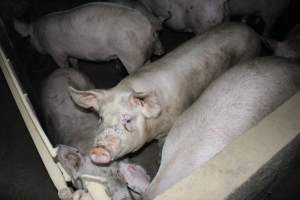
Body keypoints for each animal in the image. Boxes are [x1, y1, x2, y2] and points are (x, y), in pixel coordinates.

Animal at [13, 1, 164, 73]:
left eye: (29, 38)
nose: (29, 46)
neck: (38, 33)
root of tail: (148, 26)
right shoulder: (70, 51)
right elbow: (74, 61)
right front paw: (76, 71)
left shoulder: (57, 52)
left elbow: (63, 65)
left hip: (131, 54)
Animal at [68, 23, 260, 164]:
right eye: (100, 118)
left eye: (128, 120)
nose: (98, 150)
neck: (152, 129)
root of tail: (248, 28)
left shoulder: (169, 126)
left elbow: (162, 144)